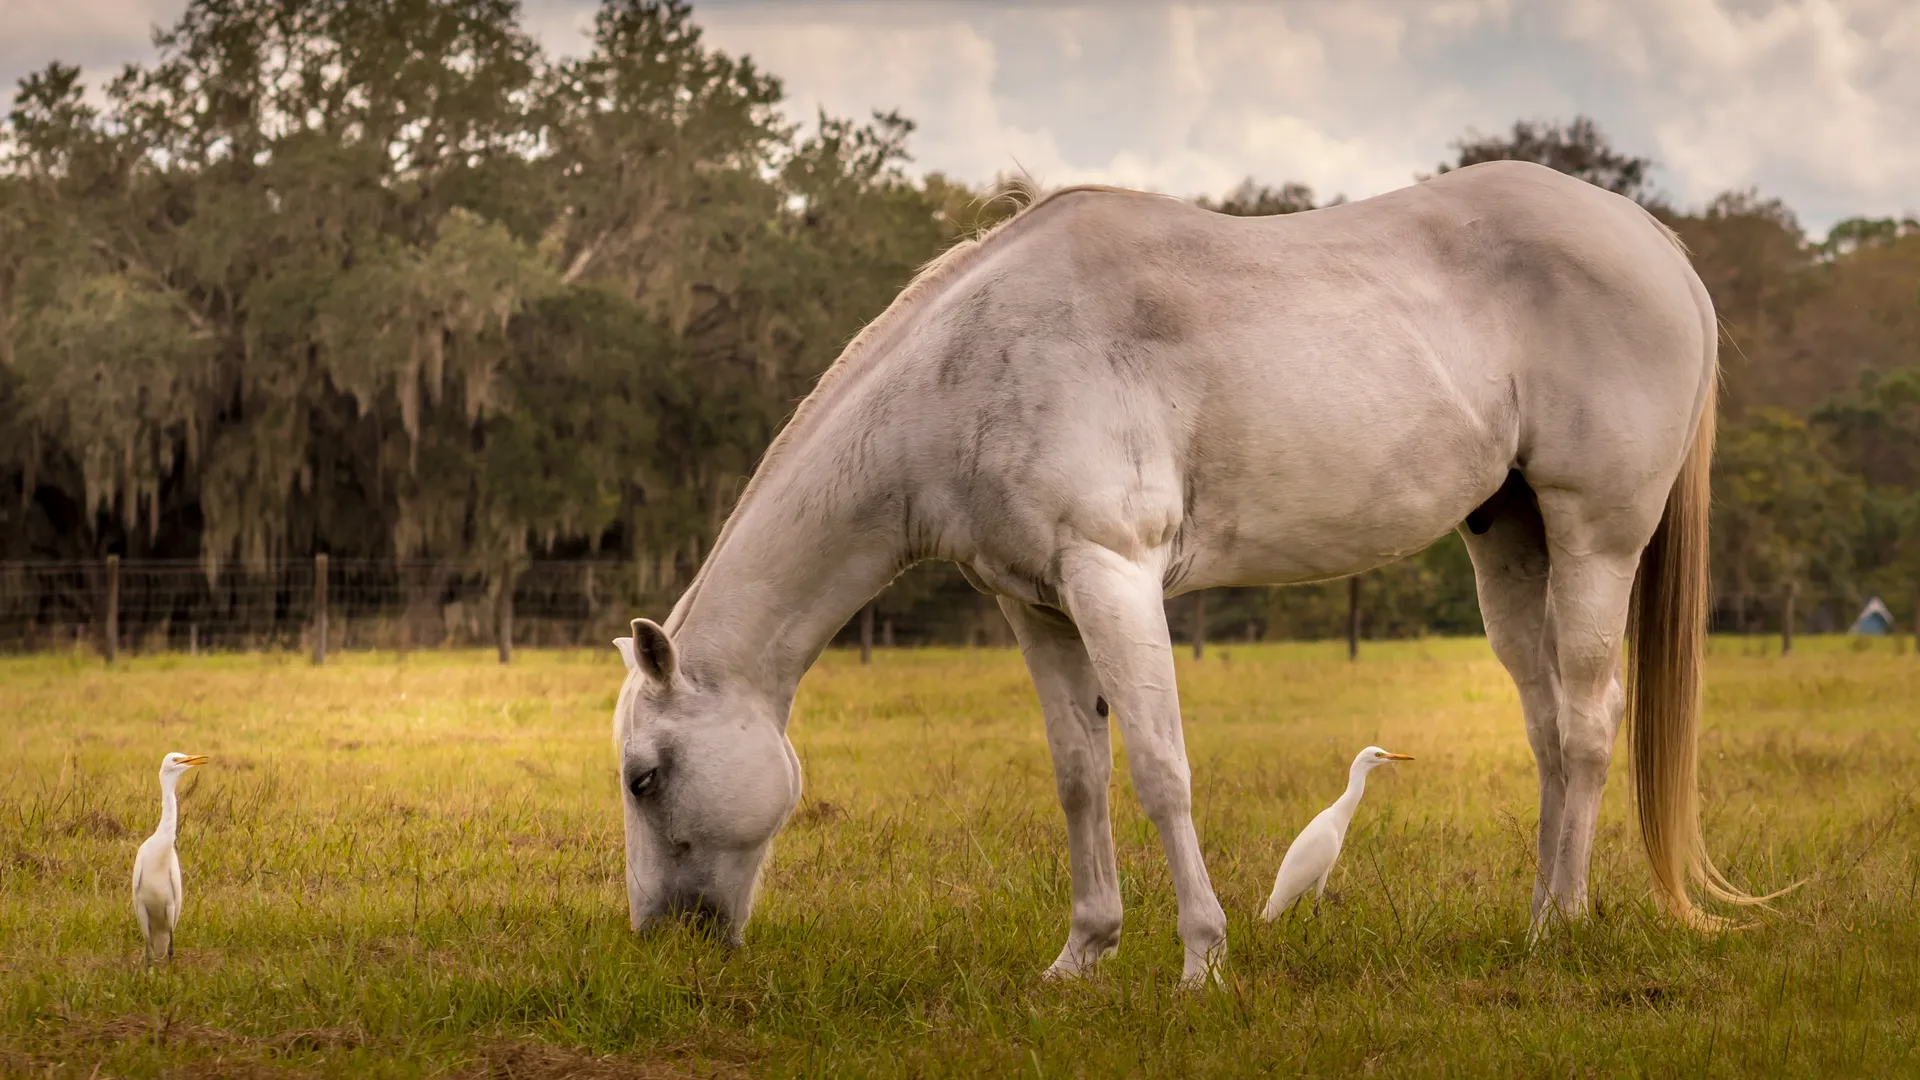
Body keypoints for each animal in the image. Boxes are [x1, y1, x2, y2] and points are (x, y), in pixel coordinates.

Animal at [609, 159, 1767, 986]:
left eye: (643, 777)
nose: (664, 942)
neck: (971, 362)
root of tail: (1654, 243)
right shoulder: (1036, 606)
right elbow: (1079, 776)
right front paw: (1081, 956)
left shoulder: (1111, 577)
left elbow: (1161, 769)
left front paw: (1201, 959)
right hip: (1510, 543)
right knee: (1546, 728)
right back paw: (1536, 915)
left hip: (1595, 538)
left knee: (1589, 723)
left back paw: (1558, 928)